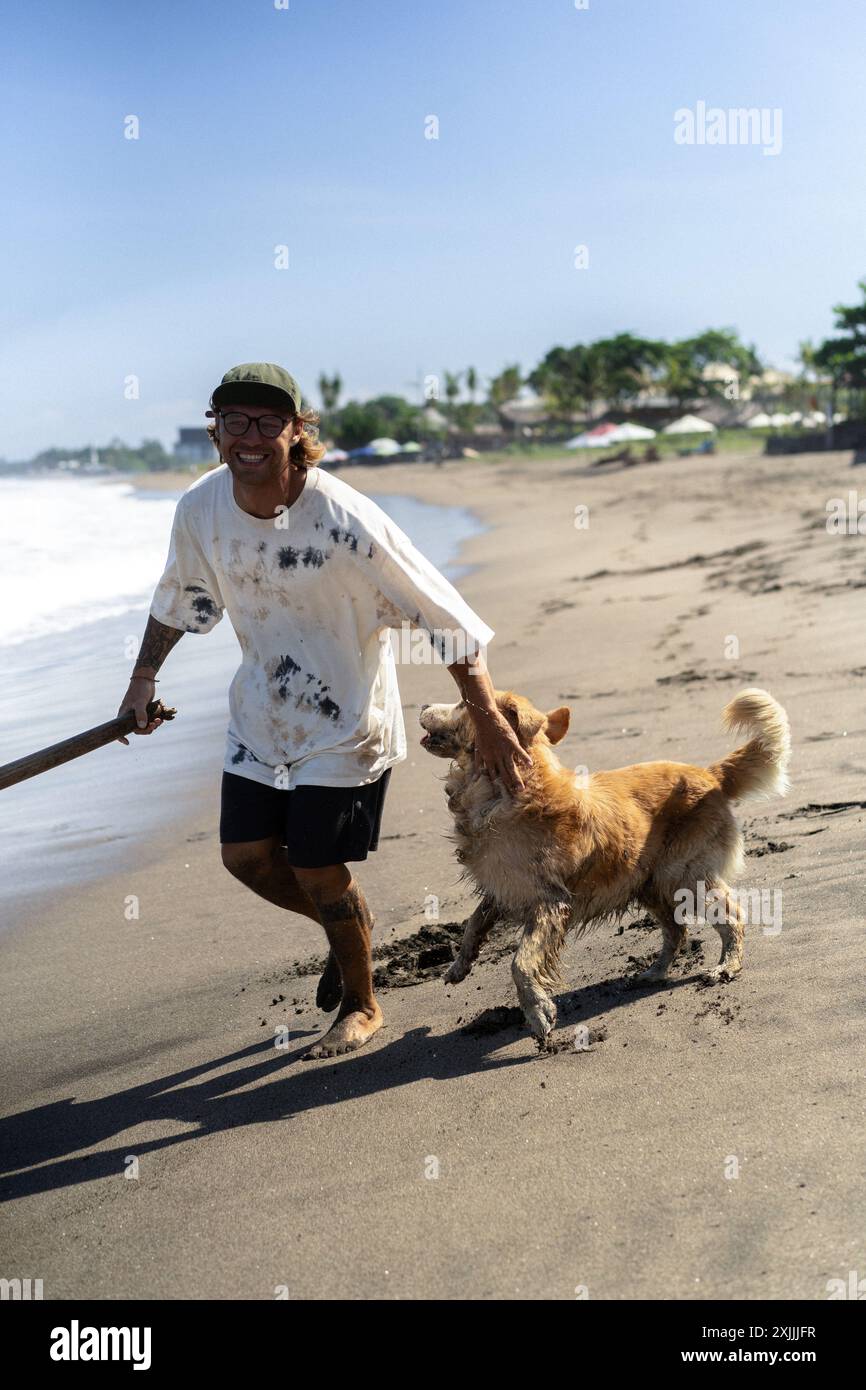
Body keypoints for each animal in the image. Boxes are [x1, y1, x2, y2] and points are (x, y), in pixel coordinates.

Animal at [419, 683, 795, 1045]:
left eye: (461, 703)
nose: (421, 704)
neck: (502, 789)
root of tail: (709, 774)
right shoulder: (504, 887)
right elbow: (474, 921)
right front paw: (459, 965)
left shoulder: (549, 903)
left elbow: (521, 963)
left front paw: (538, 1012)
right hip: (648, 883)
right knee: (677, 929)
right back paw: (653, 973)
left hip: (684, 877)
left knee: (731, 915)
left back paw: (727, 966)